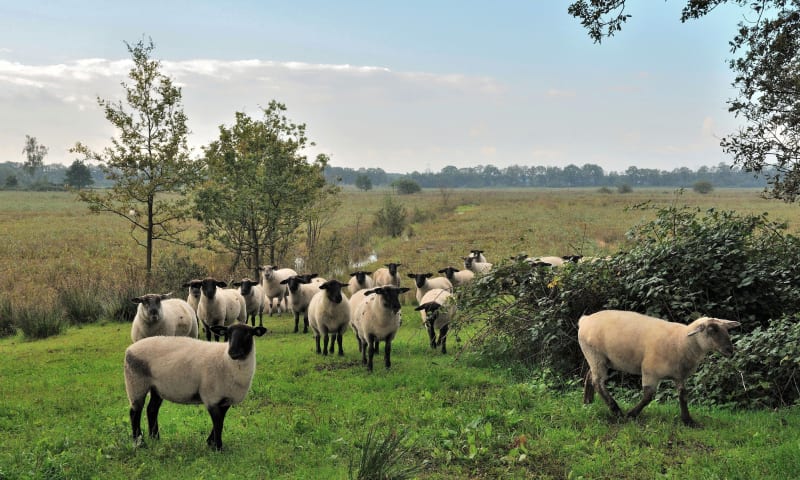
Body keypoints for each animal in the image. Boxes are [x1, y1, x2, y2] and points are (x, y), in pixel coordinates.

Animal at [122, 322, 266, 450]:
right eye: (228, 334)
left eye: (249, 334)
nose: (233, 353)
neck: (225, 360)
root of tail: (130, 349)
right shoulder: (211, 397)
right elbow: (218, 422)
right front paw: (218, 447)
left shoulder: (225, 400)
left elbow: (221, 420)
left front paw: (210, 443)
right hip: (136, 383)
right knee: (135, 412)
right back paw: (139, 443)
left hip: (156, 387)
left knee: (151, 409)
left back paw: (155, 439)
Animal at [580, 310, 740, 426]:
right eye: (711, 329)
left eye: (726, 329)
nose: (730, 350)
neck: (682, 341)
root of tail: (584, 319)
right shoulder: (650, 372)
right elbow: (648, 397)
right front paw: (631, 415)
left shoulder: (679, 376)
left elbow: (683, 396)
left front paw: (688, 421)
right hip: (595, 355)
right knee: (598, 382)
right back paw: (616, 410)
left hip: (599, 359)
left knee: (590, 376)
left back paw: (588, 402)